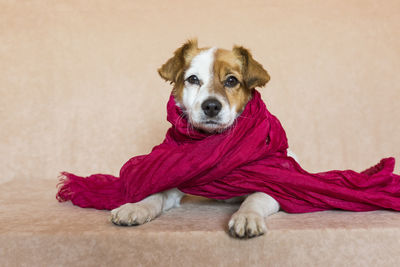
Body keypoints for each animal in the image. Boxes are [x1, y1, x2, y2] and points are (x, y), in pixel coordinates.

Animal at [109, 40, 296, 240]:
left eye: (231, 80)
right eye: (193, 79)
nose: (211, 106)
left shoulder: (274, 186)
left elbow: (256, 198)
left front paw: (246, 216)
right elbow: (156, 195)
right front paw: (135, 206)